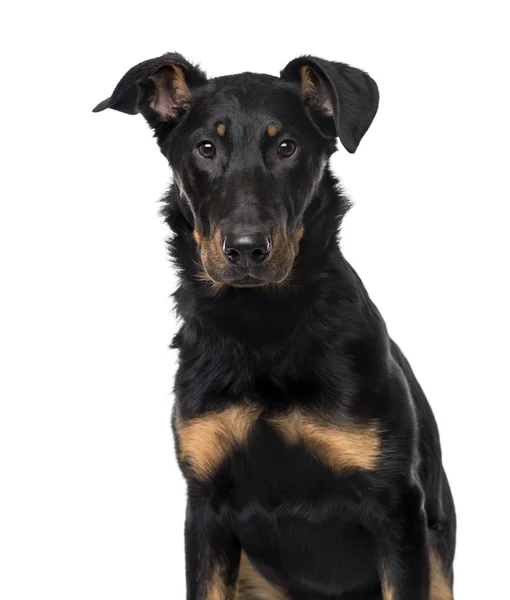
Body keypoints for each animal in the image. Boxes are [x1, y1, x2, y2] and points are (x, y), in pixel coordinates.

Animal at [93, 52, 456, 600]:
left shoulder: (396, 507)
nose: (246, 249)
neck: (260, 329)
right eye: (206, 148)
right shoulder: (205, 507)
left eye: (286, 147)